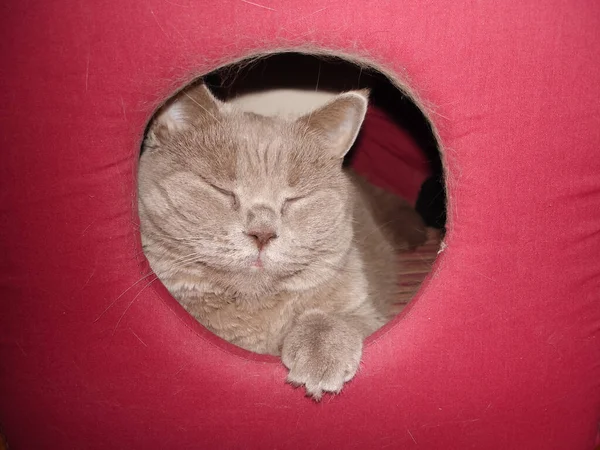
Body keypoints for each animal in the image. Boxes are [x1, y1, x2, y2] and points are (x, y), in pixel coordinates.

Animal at [138, 82, 426, 400]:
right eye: (221, 190)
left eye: (294, 199)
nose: (262, 233)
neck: (257, 311)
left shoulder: (368, 313)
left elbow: (340, 316)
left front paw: (321, 351)